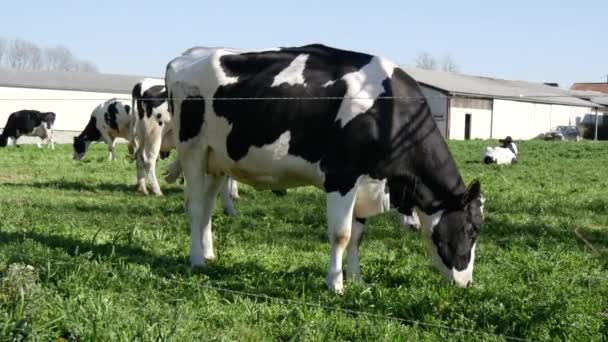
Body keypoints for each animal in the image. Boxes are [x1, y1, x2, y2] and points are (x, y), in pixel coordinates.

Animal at [165, 44, 484, 292]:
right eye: (472, 229)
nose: (467, 283)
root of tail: (185, 55)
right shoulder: (341, 177)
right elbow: (341, 234)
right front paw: (336, 284)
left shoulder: (366, 182)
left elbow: (357, 235)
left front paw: (357, 279)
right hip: (192, 149)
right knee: (195, 207)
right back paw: (196, 260)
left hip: (217, 160)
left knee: (207, 207)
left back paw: (209, 254)